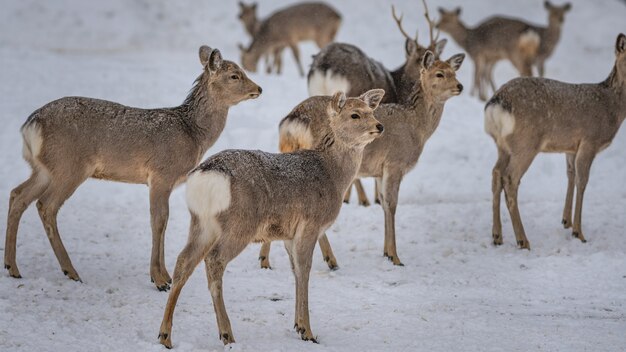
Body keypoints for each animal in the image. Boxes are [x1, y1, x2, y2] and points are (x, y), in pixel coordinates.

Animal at [3, 44, 260, 292]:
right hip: (69, 165)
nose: (259, 88)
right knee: (46, 205)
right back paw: (70, 271)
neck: (193, 134)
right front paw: (159, 280)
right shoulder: (161, 174)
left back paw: (12, 267)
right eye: (235, 75)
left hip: (45, 169)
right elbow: (159, 220)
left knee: (18, 194)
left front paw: (165, 275)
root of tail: (31, 125)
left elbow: (163, 221)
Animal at [156, 88, 382, 346]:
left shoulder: (288, 234)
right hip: (240, 224)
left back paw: (165, 335)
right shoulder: (310, 223)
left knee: (184, 261)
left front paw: (298, 325)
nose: (380, 126)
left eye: (371, 111)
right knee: (214, 260)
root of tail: (207, 176)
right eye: (355, 115)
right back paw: (227, 333)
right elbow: (305, 269)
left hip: (201, 222)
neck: (332, 175)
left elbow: (296, 270)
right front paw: (308, 331)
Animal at [264, 49, 464, 270]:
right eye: (439, 73)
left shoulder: (380, 171)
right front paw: (395, 257)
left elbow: (383, 203)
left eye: (454, 72)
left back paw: (266, 261)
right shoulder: (394, 162)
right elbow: (391, 205)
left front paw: (386, 252)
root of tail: (294, 120)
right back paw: (330, 260)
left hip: (286, 150)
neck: (417, 128)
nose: (460, 86)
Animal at [482, 32, 624, 248]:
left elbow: (571, 175)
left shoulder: (571, 147)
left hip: (503, 145)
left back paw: (497, 236)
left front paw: (566, 221)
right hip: (526, 143)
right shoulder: (589, 140)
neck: (613, 108)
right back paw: (523, 240)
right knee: (510, 178)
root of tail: (496, 103)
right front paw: (579, 233)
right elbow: (583, 181)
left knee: (496, 173)